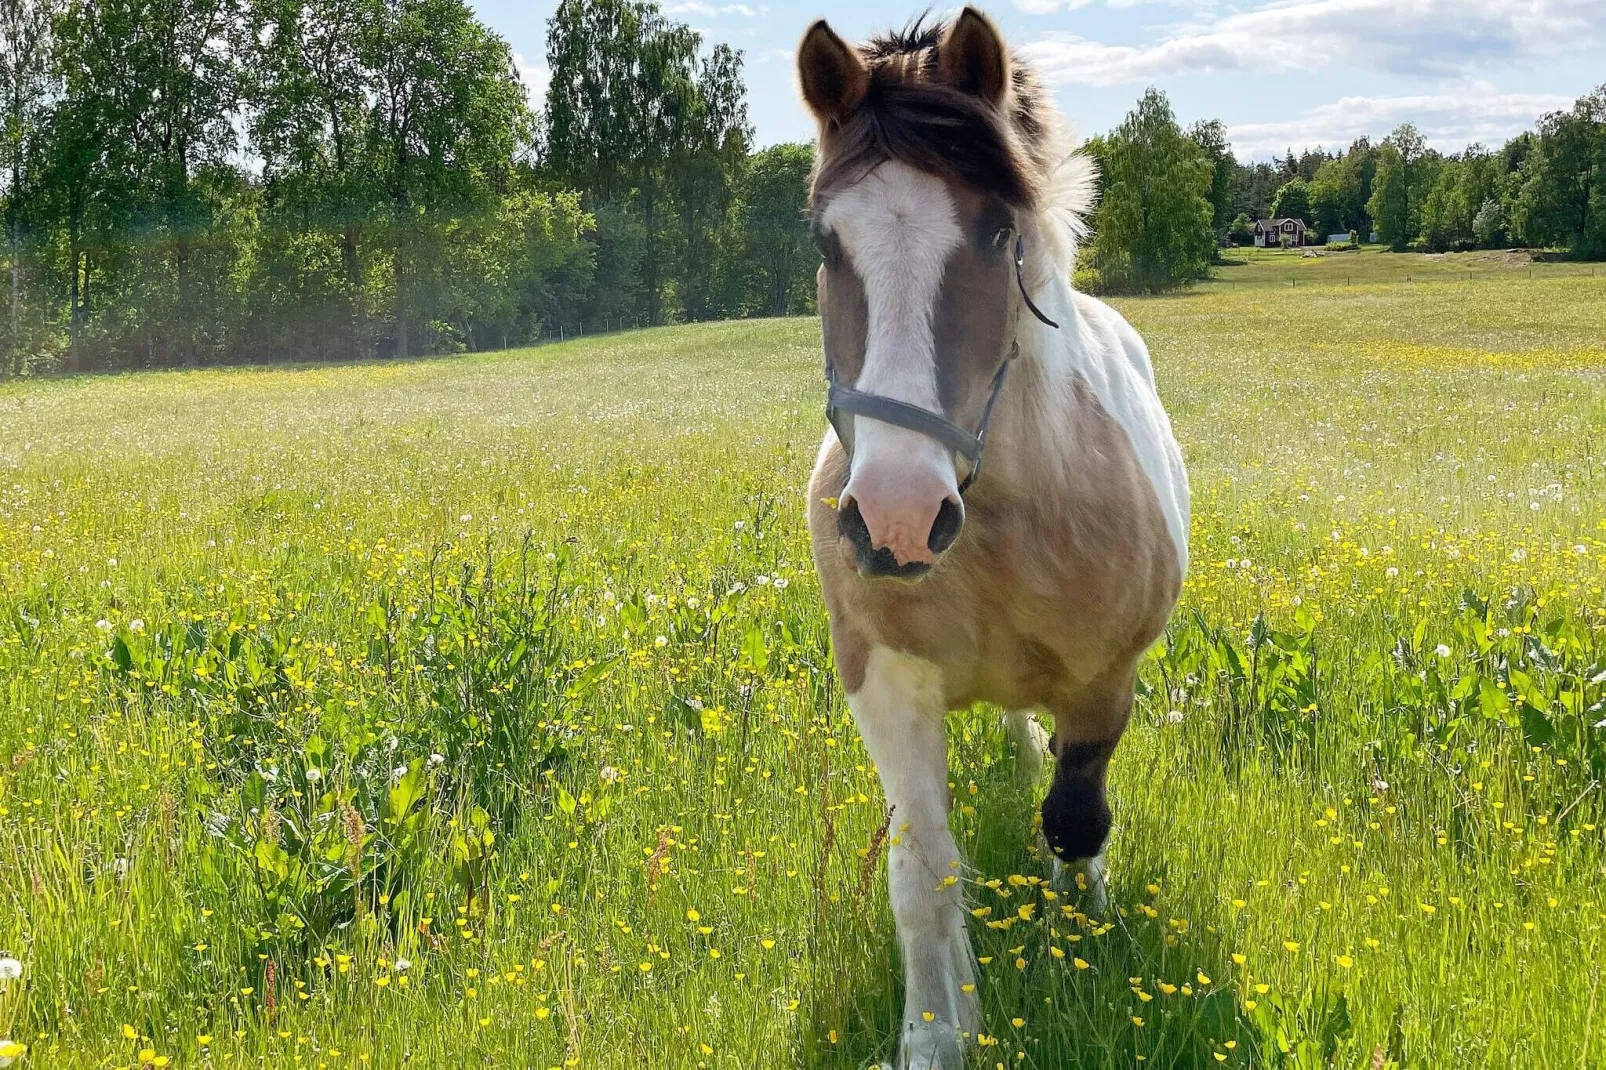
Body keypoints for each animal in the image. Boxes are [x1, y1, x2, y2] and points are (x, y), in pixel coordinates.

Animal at [803, 10, 1194, 1066]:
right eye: (826, 241)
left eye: (995, 233)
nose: (894, 518)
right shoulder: (887, 686)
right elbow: (922, 872)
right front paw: (939, 1031)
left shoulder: (1107, 683)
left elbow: (1074, 818)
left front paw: (1081, 931)